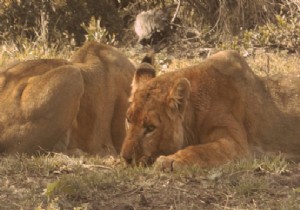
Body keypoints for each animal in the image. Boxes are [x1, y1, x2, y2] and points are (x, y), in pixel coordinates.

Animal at [120, 50, 300, 171]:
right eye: (128, 120)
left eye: (151, 128)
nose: (126, 158)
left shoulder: (237, 144)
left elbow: (200, 150)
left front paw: (169, 161)